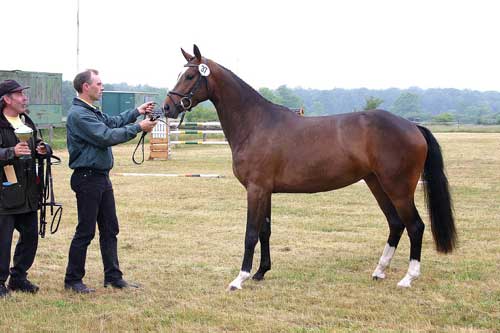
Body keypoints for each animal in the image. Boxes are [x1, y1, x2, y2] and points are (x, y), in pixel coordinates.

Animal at [163, 45, 458, 290]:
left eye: (190, 76)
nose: (167, 107)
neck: (256, 123)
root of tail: (413, 126)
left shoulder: (256, 190)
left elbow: (250, 233)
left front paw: (240, 278)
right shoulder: (265, 191)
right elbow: (265, 231)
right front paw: (261, 272)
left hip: (398, 189)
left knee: (415, 226)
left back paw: (408, 278)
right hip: (377, 184)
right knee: (396, 224)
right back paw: (379, 270)